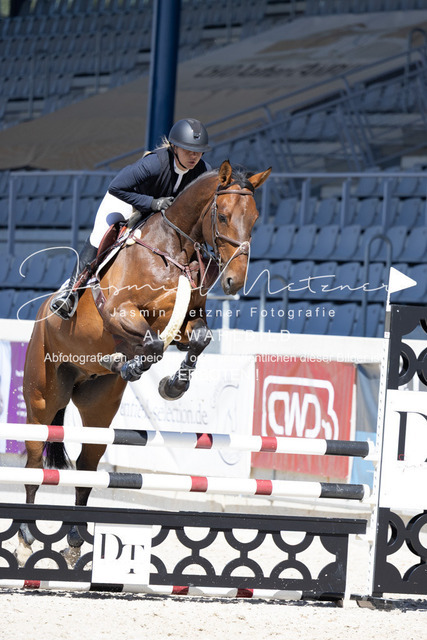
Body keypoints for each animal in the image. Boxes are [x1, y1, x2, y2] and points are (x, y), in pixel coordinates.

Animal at [17, 160, 271, 562]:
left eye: (256, 218)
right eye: (223, 216)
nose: (233, 281)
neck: (173, 249)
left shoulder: (186, 320)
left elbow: (197, 339)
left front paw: (172, 385)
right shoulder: (120, 312)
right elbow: (150, 343)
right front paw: (134, 365)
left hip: (98, 411)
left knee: (87, 469)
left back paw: (74, 540)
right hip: (42, 399)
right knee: (32, 462)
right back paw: (26, 537)